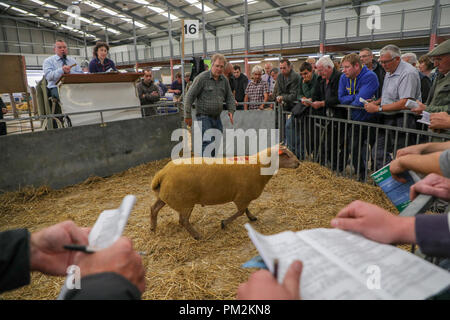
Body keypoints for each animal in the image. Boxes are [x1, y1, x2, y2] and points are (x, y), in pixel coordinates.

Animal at [149, 145, 300, 240]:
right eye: (286, 155)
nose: (298, 163)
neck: (258, 166)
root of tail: (162, 174)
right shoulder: (242, 197)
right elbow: (240, 212)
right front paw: (224, 223)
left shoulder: (244, 196)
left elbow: (246, 210)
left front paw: (251, 217)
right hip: (185, 202)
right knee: (183, 220)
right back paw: (197, 236)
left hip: (165, 197)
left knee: (153, 209)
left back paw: (153, 228)